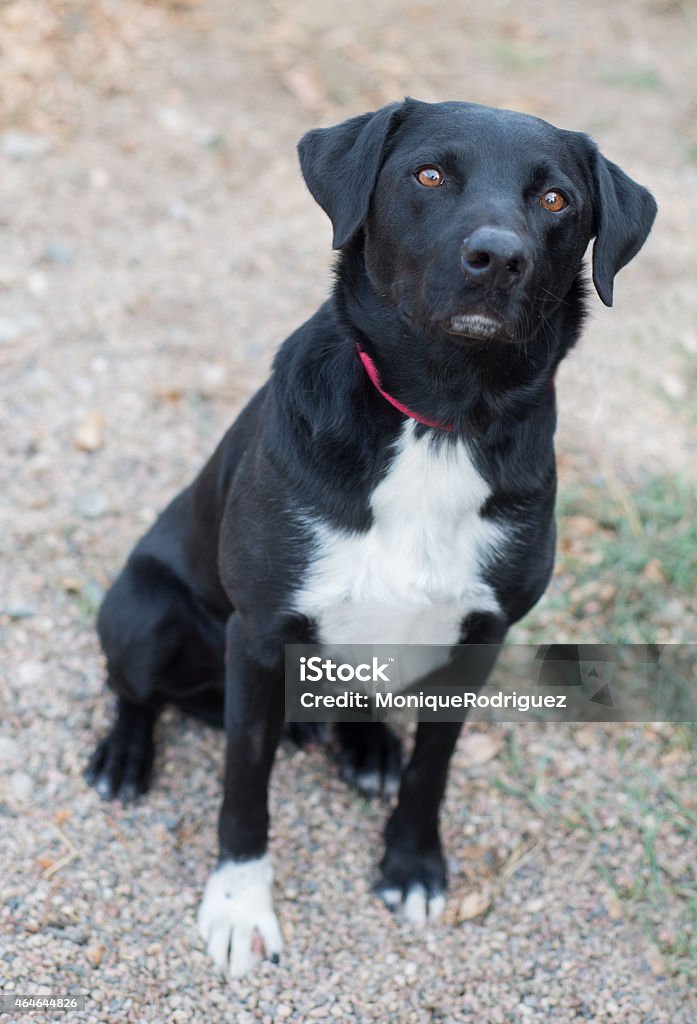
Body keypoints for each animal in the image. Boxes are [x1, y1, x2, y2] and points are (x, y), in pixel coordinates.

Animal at [84, 99, 655, 978]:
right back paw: (126, 754)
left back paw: (364, 746)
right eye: (429, 174)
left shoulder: (479, 637)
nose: (497, 258)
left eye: (556, 199)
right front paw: (238, 905)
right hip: (145, 613)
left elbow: (433, 769)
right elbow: (243, 787)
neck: (439, 421)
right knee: (136, 689)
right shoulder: (259, 633)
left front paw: (411, 864)